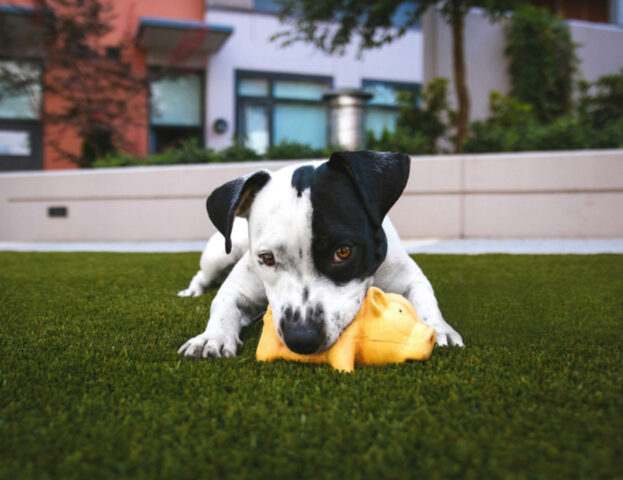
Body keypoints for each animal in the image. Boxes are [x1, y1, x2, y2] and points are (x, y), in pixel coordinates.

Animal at [176, 152, 464, 358]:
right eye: (267, 258)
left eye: (343, 252)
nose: (301, 338)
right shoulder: (238, 288)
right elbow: (223, 305)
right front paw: (211, 337)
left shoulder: (408, 276)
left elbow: (425, 298)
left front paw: (439, 328)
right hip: (220, 254)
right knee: (203, 274)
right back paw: (193, 291)